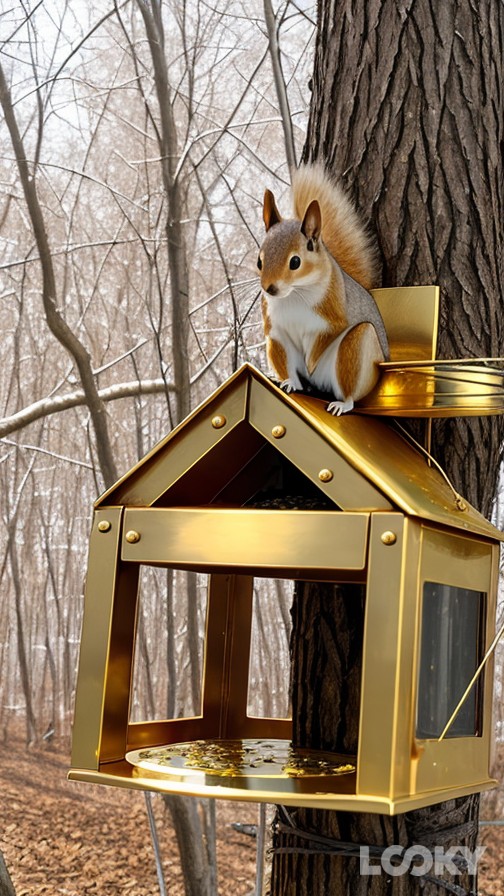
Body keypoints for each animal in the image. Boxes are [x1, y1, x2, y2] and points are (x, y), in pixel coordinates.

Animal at [258, 163, 389, 415]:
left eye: (295, 262)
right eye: (259, 261)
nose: (269, 289)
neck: (295, 293)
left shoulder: (331, 313)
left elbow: (328, 333)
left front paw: (310, 363)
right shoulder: (276, 327)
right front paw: (291, 380)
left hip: (357, 347)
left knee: (350, 391)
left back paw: (341, 403)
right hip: (277, 343)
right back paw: (294, 383)